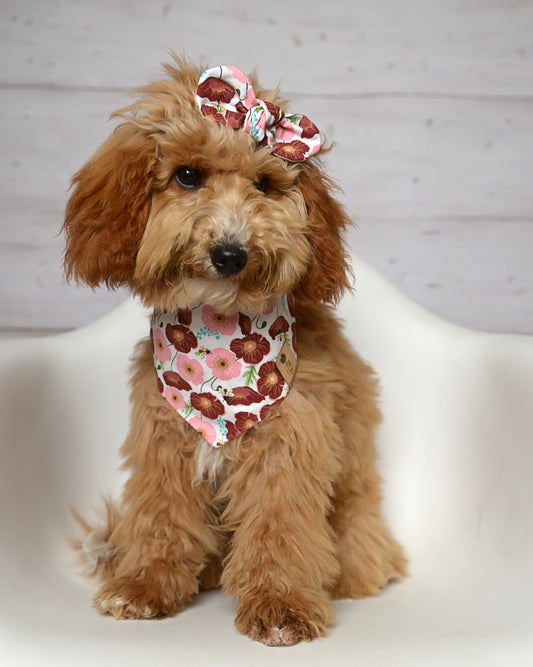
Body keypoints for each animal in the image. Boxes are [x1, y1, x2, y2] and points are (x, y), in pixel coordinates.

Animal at [62, 57, 406, 648]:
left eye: (265, 186)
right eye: (187, 176)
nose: (231, 253)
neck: (219, 339)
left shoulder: (288, 442)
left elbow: (279, 527)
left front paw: (280, 605)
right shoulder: (164, 441)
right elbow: (161, 518)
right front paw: (145, 586)